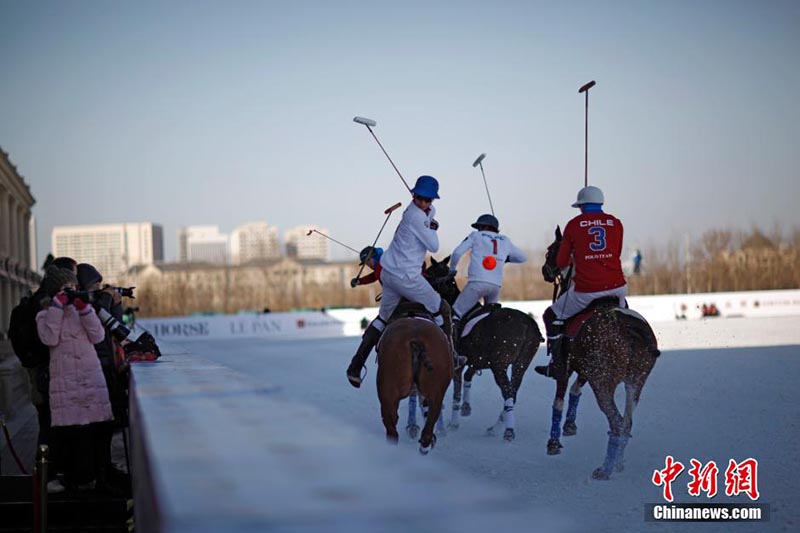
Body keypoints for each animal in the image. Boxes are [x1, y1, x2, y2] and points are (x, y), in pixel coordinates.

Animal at [422, 256, 540, 438]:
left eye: (429, 272)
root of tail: (528, 324)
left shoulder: (457, 364)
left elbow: (456, 393)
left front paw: (454, 423)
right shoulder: (475, 361)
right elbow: (468, 377)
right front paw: (466, 409)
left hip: (499, 366)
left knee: (508, 392)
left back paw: (507, 430)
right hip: (521, 364)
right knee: (513, 392)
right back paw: (497, 426)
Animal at [540, 224, 660, 478]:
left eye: (552, 250)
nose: (545, 271)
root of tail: (631, 328)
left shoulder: (566, 367)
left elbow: (559, 400)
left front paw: (553, 443)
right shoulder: (586, 369)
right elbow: (576, 390)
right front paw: (570, 425)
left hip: (604, 383)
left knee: (616, 421)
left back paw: (605, 469)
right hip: (635, 381)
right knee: (627, 422)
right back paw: (618, 463)